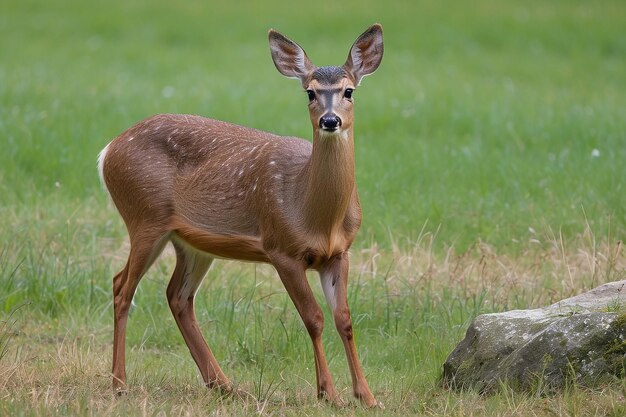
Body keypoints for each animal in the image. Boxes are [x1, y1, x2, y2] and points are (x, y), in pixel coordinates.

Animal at [98, 23, 382, 406]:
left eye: (348, 90)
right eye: (309, 92)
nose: (330, 120)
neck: (315, 216)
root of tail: (108, 150)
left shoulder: (340, 253)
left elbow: (345, 320)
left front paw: (366, 395)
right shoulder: (281, 248)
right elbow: (314, 318)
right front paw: (328, 393)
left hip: (190, 242)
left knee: (177, 296)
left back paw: (223, 384)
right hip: (144, 217)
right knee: (122, 287)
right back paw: (119, 383)